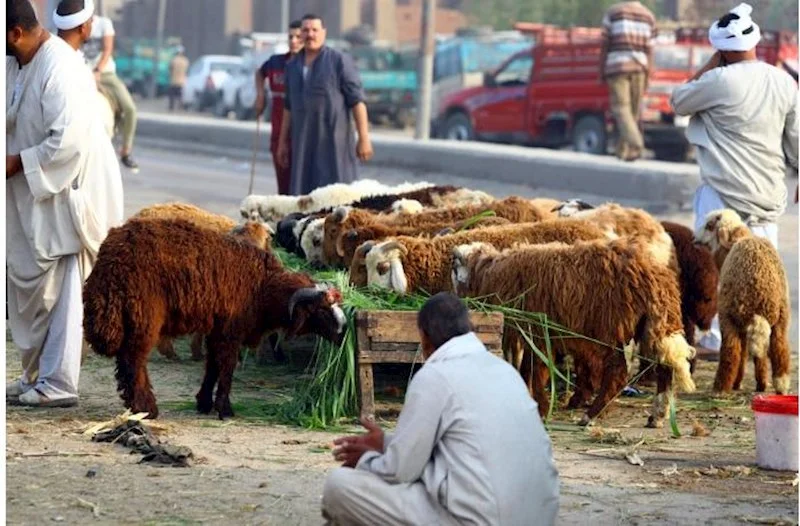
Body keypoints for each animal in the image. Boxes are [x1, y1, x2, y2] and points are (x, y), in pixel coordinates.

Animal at [83, 219, 346, 420]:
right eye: (322, 310)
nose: (343, 333)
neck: (263, 285)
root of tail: (110, 258)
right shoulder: (231, 331)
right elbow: (227, 369)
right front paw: (224, 409)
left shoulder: (217, 329)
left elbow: (212, 366)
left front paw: (204, 403)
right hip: (143, 316)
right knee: (133, 362)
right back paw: (146, 408)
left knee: (126, 363)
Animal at [454, 239, 696, 428]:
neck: (490, 272)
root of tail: (654, 275)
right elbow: (530, 370)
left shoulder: (538, 330)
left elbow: (534, 369)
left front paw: (541, 408)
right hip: (652, 324)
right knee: (664, 368)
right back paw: (657, 415)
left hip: (607, 329)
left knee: (618, 372)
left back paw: (592, 415)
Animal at [692, 210, 792, 396]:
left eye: (709, 226)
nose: (694, 238)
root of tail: (762, 297)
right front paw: (759, 384)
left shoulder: (732, 319)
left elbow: (740, 352)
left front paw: (735, 384)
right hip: (780, 318)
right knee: (778, 348)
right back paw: (780, 385)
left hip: (730, 315)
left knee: (731, 351)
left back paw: (720, 389)